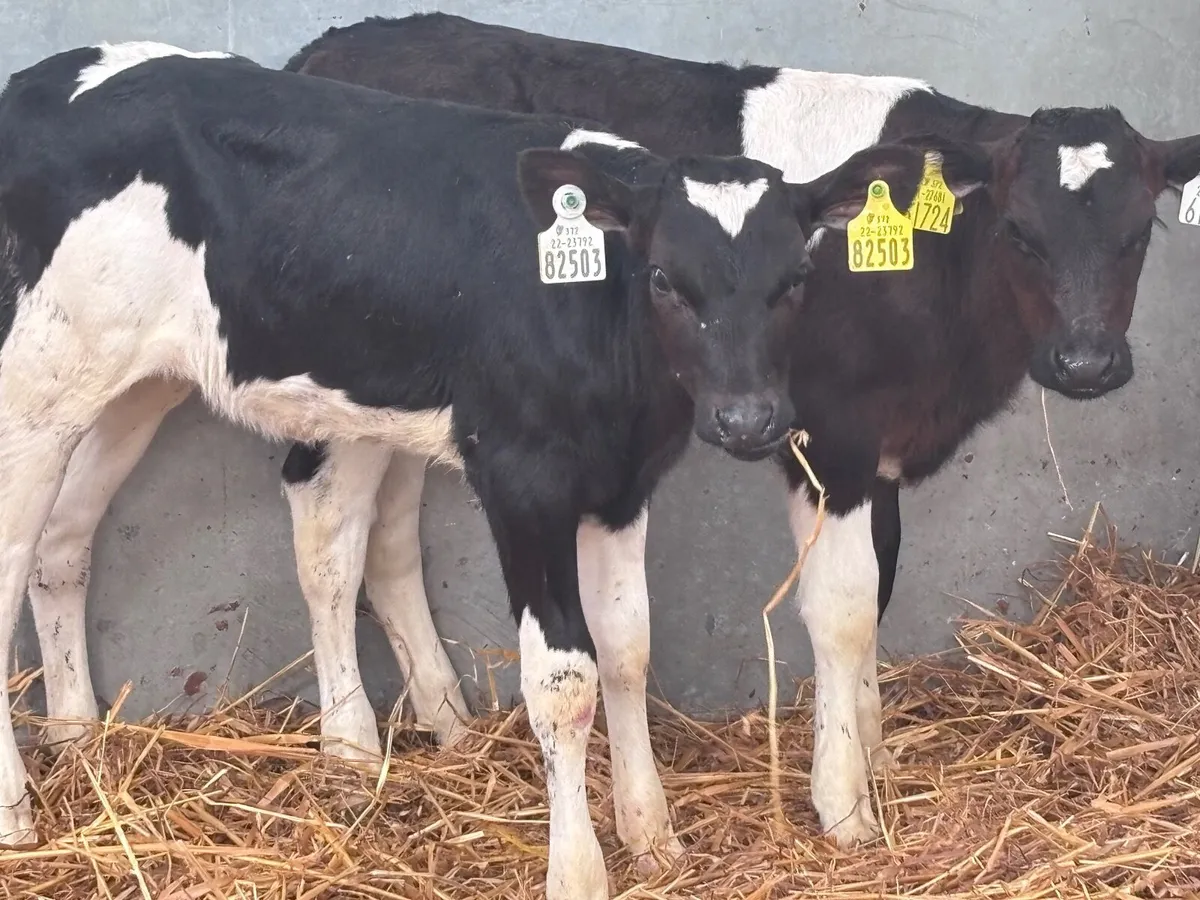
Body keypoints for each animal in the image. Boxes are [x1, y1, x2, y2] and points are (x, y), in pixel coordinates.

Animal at [0, 41, 977, 899]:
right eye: (664, 278)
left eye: (797, 278)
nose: (748, 419)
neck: (588, 310)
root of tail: (43, 78)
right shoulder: (522, 479)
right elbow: (562, 679)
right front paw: (579, 872)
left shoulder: (622, 483)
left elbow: (627, 648)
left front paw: (652, 833)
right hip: (32, 390)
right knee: (14, 557)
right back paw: (17, 807)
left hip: (132, 386)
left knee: (62, 543)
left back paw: (79, 736)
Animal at [280, 12, 1200, 851]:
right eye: (1019, 230)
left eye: (1139, 233)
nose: (1086, 362)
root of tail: (333, 45)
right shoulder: (832, 435)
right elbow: (843, 606)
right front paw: (845, 805)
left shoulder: (880, 446)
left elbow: (881, 581)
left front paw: (875, 755)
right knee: (329, 539)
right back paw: (352, 752)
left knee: (387, 538)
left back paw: (447, 723)